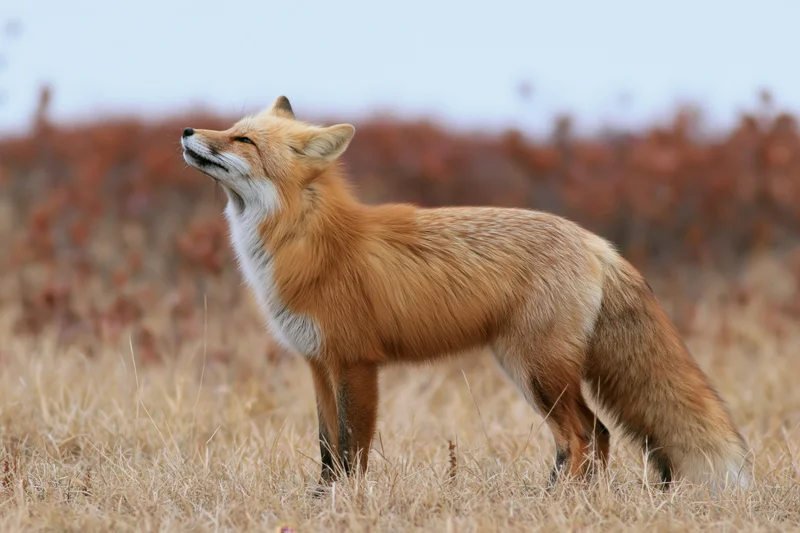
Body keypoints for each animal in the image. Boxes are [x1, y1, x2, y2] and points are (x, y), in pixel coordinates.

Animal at [180, 96, 751, 494]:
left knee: (584, 435)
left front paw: (347, 504)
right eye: (230, 129)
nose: (186, 130)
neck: (308, 242)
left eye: (242, 139)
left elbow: (351, 448)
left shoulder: (356, 363)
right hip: (529, 370)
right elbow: (327, 449)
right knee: (597, 435)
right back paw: (564, 501)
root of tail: (596, 241)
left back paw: (558, 504)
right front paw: (320, 501)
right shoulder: (319, 363)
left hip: (536, 370)